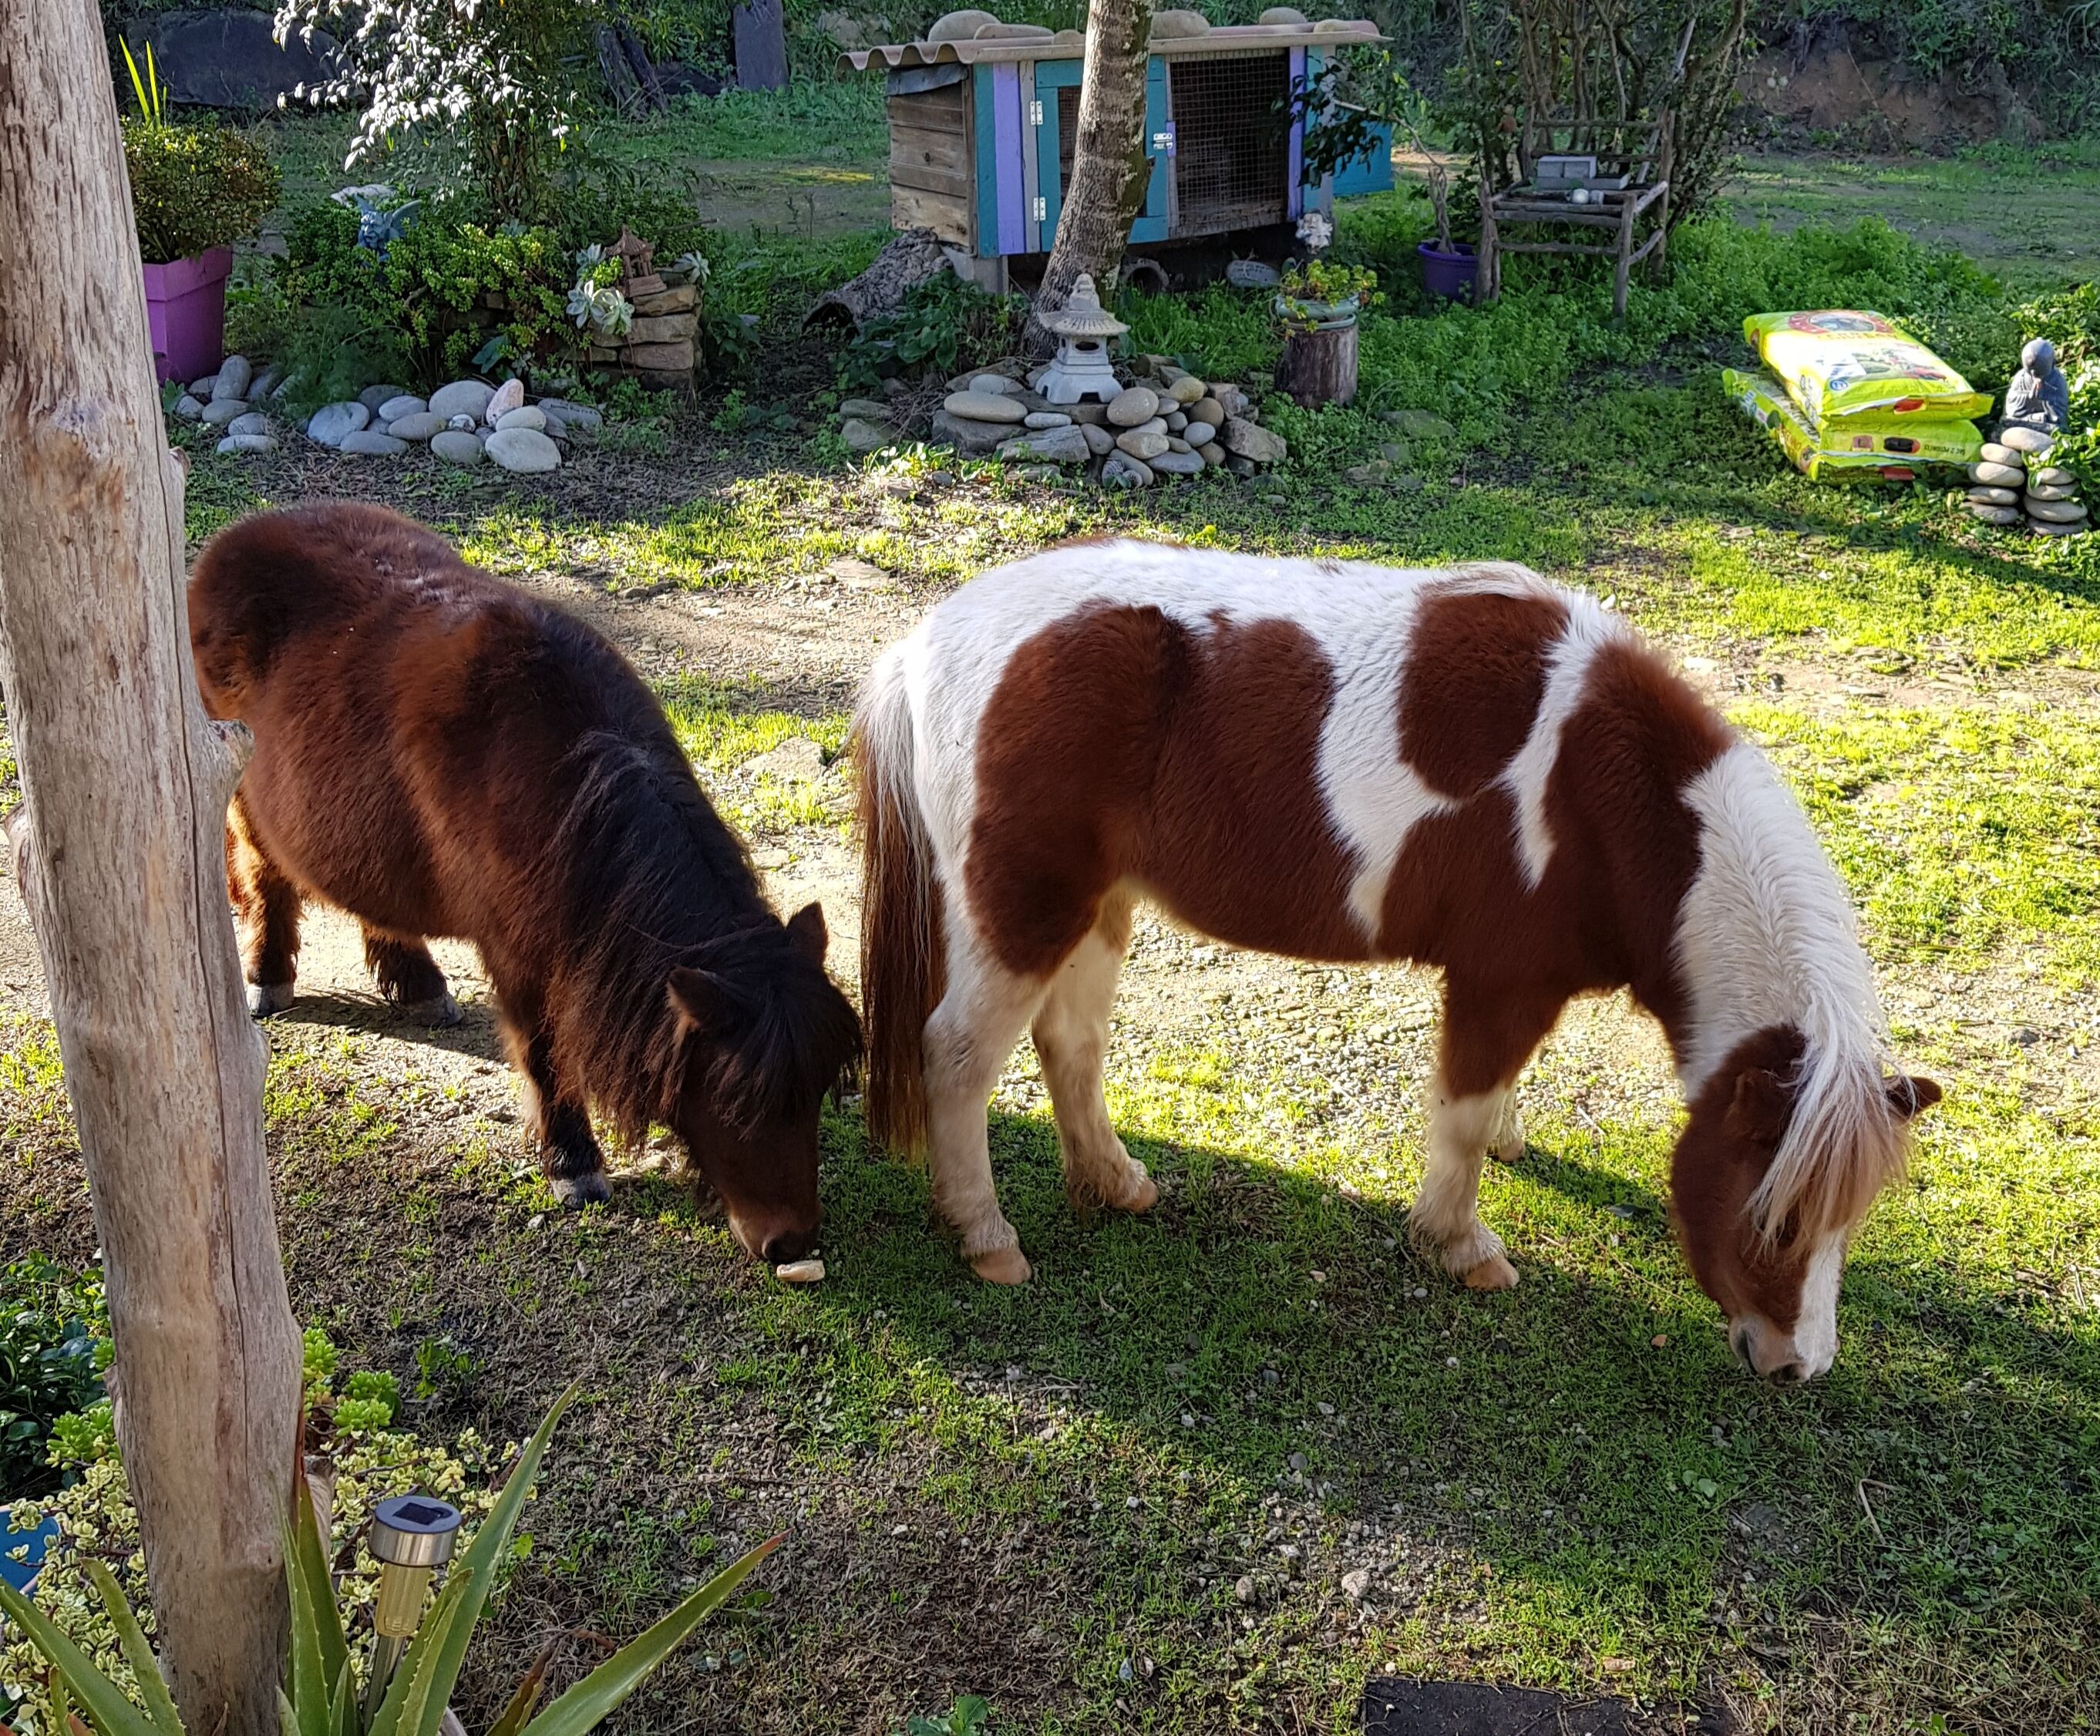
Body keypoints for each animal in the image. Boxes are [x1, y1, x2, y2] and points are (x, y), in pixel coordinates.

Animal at [188, 502, 861, 1262]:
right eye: (736, 1105)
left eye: (819, 1089)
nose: (792, 1243)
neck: (567, 781)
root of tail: (234, 540)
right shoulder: (518, 955)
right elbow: (545, 1052)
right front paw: (573, 1163)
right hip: (244, 797)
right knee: (265, 879)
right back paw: (268, 975)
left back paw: (415, 981)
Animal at [853, 540, 1939, 1382]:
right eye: (1778, 1222)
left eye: (1847, 1225)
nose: (1799, 1366)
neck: (1612, 798)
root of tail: (923, 645)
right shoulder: (1500, 984)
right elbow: (1460, 1114)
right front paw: (1460, 1243)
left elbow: (1494, 1105)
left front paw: (1507, 1145)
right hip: (1023, 914)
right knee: (957, 1056)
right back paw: (987, 1239)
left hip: (1098, 908)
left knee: (1070, 1042)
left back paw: (1114, 1182)